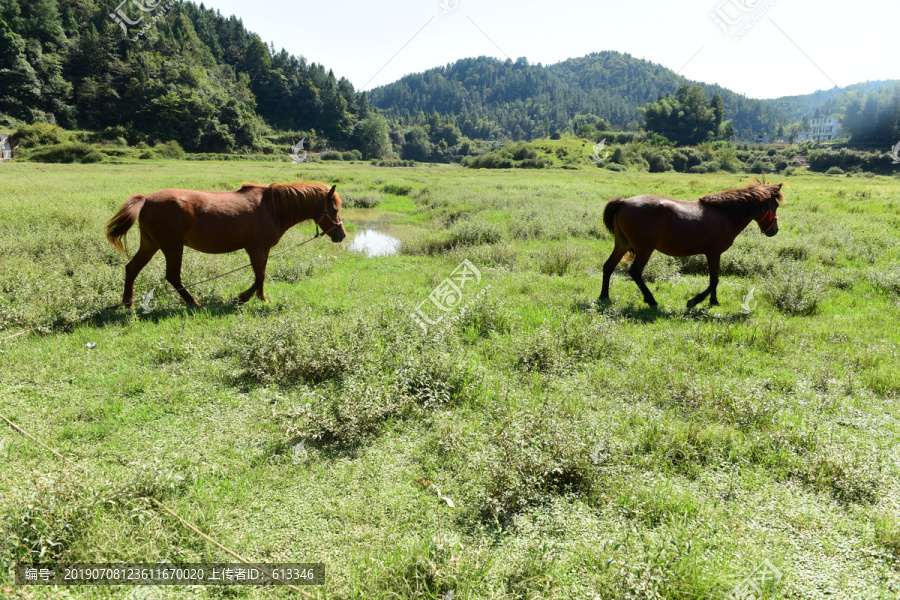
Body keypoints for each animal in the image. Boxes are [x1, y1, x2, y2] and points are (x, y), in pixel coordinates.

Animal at [105, 181, 346, 307]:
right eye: (334, 209)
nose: (341, 235)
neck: (271, 208)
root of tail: (146, 198)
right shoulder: (254, 248)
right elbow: (260, 276)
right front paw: (243, 297)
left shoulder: (264, 250)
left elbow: (262, 275)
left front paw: (261, 298)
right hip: (172, 247)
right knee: (172, 276)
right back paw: (193, 303)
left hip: (151, 244)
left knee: (132, 268)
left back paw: (128, 302)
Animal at [599, 182, 784, 309]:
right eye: (775, 205)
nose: (775, 230)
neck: (726, 214)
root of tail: (623, 202)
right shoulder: (713, 253)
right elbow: (714, 280)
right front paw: (695, 301)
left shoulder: (714, 254)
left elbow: (714, 279)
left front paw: (714, 301)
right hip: (645, 249)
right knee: (635, 272)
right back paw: (651, 300)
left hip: (622, 245)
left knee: (608, 266)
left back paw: (604, 296)